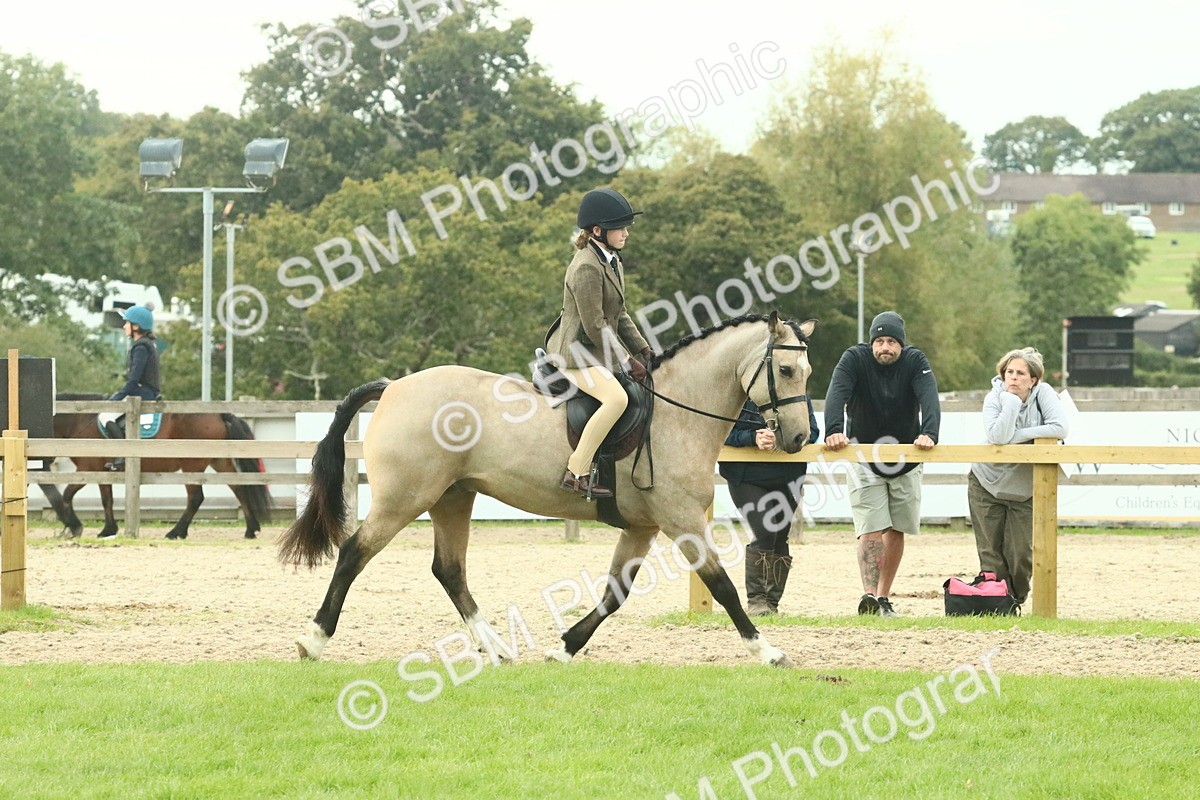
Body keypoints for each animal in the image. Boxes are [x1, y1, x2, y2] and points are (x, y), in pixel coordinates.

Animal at [38, 394, 273, 540]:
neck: (79, 418)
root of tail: (219, 414)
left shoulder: (88, 468)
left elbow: (67, 494)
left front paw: (73, 526)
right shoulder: (103, 472)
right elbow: (107, 500)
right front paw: (108, 530)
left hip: (192, 464)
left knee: (196, 498)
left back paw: (176, 532)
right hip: (219, 461)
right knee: (239, 488)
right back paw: (251, 529)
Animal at [279, 312, 817, 668]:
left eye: (808, 372)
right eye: (786, 370)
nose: (797, 439)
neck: (675, 413)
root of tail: (393, 387)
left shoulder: (642, 527)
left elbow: (615, 592)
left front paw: (566, 646)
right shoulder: (681, 521)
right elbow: (722, 587)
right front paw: (768, 650)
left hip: (453, 497)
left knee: (449, 570)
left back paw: (496, 648)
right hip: (403, 499)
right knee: (354, 553)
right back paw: (313, 640)